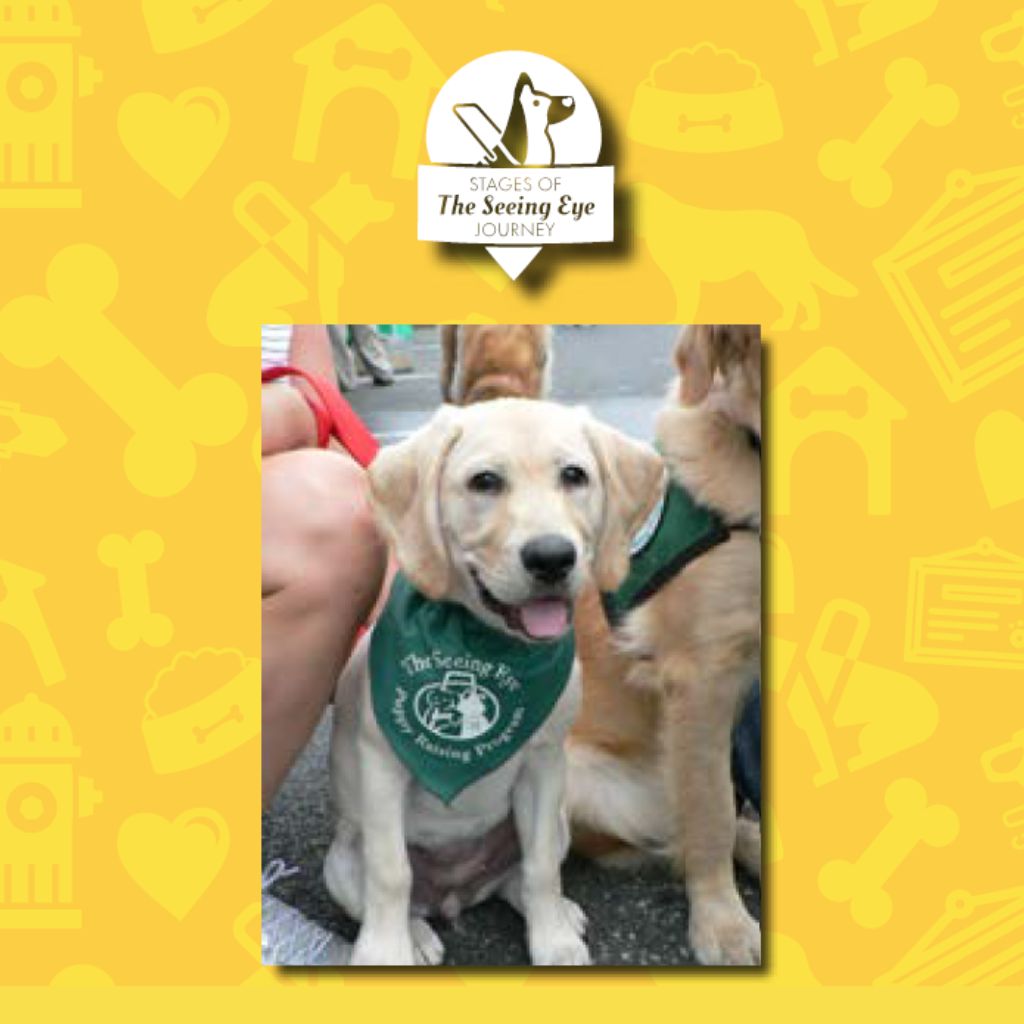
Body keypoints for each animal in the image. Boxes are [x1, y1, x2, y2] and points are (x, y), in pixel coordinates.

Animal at [327, 395, 663, 962]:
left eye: (574, 475)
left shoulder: (545, 765)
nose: (552, 557)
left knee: (517, 878)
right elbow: (390, 873)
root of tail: (455, 893)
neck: (484, 644)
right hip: (341, 860)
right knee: (395, 894)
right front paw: (384, 954)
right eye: (484, 482)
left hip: (559, 819)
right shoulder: (381, 768)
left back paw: (556, 914)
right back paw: (416, 937)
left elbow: (541, 866)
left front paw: (552, 942)